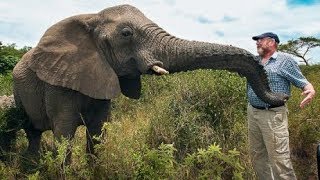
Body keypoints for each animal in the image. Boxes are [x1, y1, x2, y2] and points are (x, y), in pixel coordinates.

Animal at [11, 3, 288, 155]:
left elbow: (98, 134)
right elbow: (64, 136)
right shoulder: (57, 86)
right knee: (31, 132)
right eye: (126, 33)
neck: (90, 17)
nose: (284, 96)